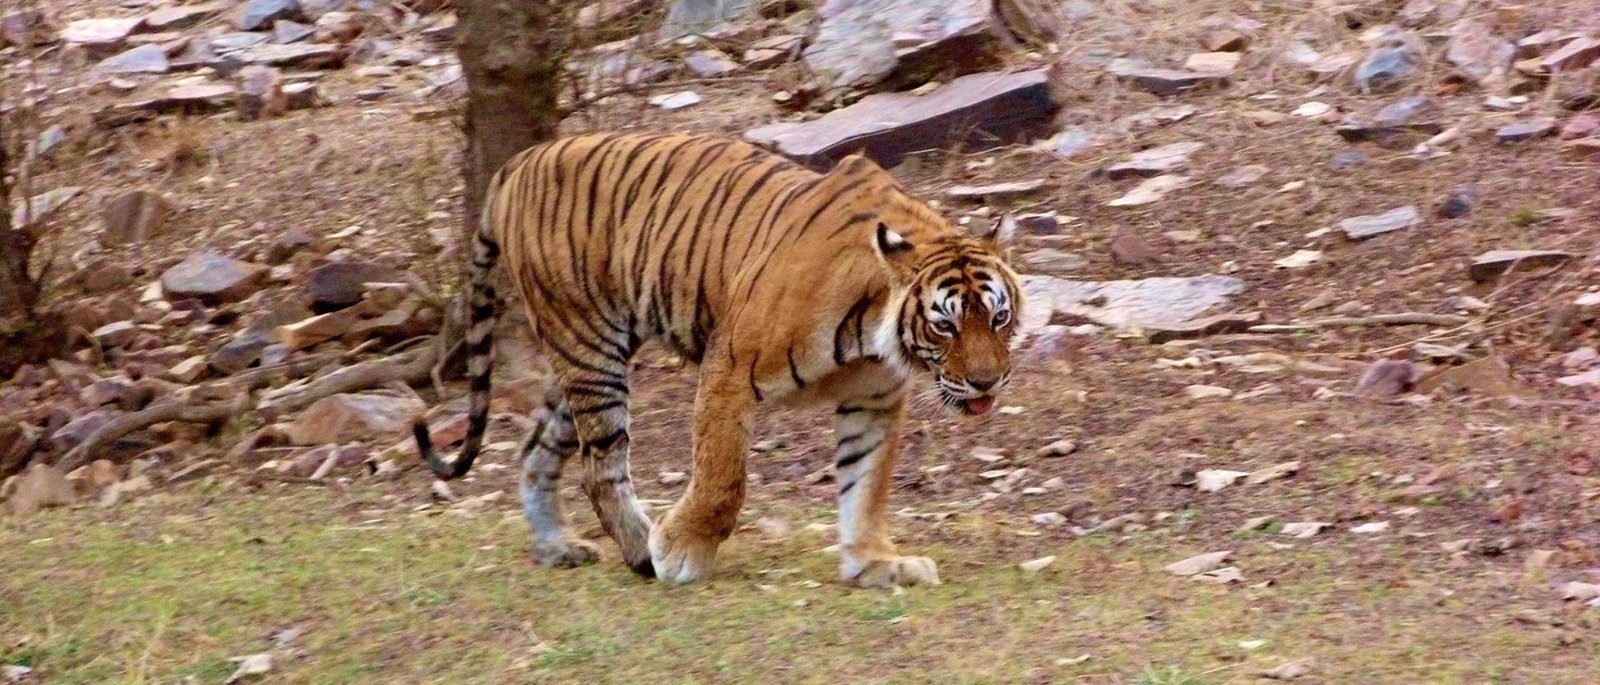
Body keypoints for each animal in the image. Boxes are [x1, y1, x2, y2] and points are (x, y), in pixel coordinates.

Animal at [414, 132, 1023, 588]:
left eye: (999, 318)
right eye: (944, 324)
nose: (987, 382)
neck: (873, 334)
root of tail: (517, 162)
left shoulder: (873, 401)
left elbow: (866, 486)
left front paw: (874, 562)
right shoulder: (731, 368)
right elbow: (724, 476)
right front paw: (681, 553)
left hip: (578, 360)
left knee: (536, 450)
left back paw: (557, 546)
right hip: (589, 346)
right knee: (600, 466)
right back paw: (642, 553)